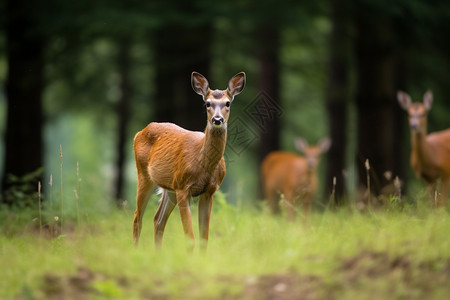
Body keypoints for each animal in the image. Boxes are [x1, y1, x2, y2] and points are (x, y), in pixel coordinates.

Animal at [133, 71, 246, 250]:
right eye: (207, 103)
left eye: (228, 103)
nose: (217, 119)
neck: (203, 165)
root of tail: (139, 132)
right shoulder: (182, 187)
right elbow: (191, 238)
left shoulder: (209, 191)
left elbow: (204, 238)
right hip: (144, 174)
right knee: (137, 218)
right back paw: (136, 251)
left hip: (170, 187)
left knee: (158, 220)